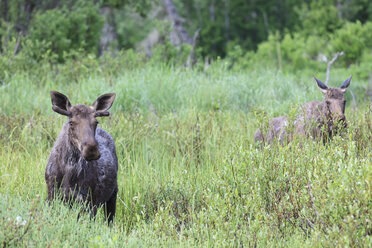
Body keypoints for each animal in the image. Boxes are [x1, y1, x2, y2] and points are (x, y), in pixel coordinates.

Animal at [45, 90, 117, 223]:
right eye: (71, 122)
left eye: (96, 122)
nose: (91, 149)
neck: (69, 170)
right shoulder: (52, 194)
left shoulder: (88, 200)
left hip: (113, 194)